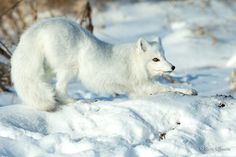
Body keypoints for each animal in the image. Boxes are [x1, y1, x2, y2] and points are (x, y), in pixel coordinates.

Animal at [12, 17, 198, 111]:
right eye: (155, 59)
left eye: (164, 56)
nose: (173, 67)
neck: (133, 61)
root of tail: (40, 26)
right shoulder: (143, 85)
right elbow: (168, 87)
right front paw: (189, 90)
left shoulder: (136, 91)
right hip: (69, 69)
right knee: (59, 90)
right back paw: (80, 102)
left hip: (47, 71)